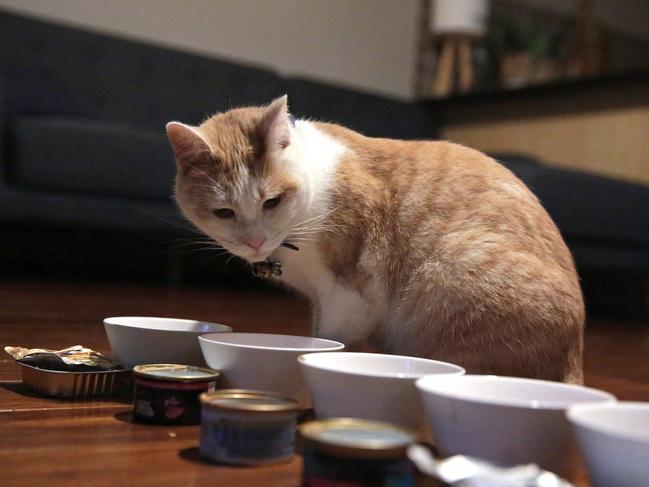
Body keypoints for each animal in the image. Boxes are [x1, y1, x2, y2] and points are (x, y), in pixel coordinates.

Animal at [166, 96, 584, 386]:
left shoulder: (348, 295)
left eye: (271, 201)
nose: (254, 242)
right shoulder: (320, 298)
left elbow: (330, 340)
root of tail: (574, 359)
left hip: (451, 268)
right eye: (224, 212)